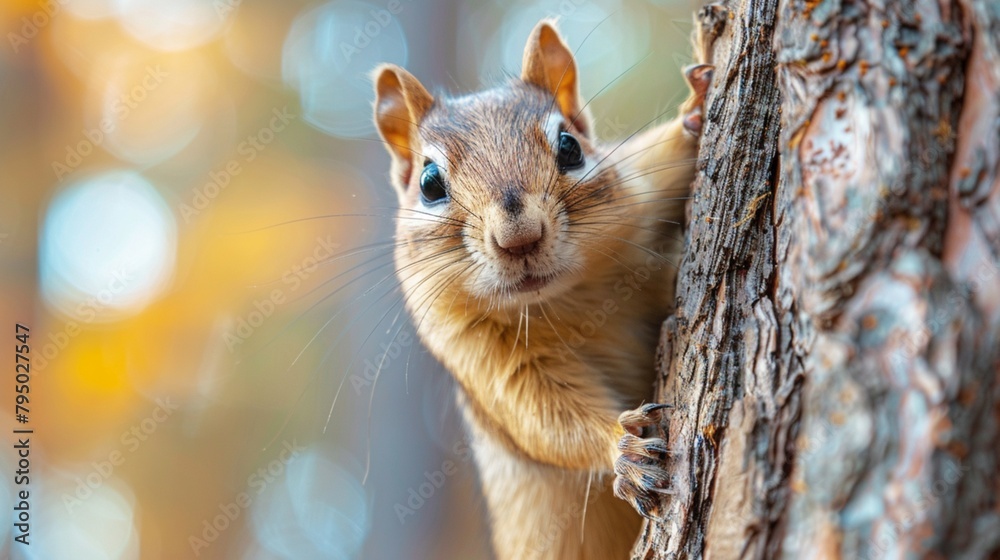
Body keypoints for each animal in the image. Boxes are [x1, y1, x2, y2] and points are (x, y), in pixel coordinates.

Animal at [372, 16, 714, 559]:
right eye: (428, 183)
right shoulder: (481, 358)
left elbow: (663, 159)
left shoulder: (640, 188)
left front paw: (696, 112)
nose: (519, 238)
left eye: (570, 146)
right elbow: (546, 419)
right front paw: (625, 450)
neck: (565, 299)